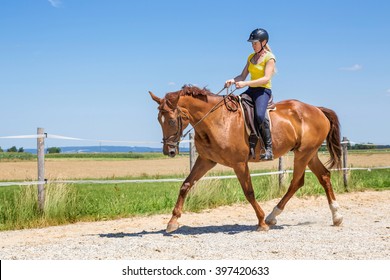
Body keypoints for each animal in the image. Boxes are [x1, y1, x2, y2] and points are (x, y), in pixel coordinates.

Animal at [148, 85, 342, 232]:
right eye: (158, 119)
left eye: (172, 121)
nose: (168, 151)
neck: (216, 120)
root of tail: (317, 110)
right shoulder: (206, 160)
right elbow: (186, 185)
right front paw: (172, 221)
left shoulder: (239, 163)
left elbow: (249, 192)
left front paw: (261, 222)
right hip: (310, 153)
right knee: (324, 176)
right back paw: (337, 216)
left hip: (303, 153)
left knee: (296, 182)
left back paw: (271, 216)